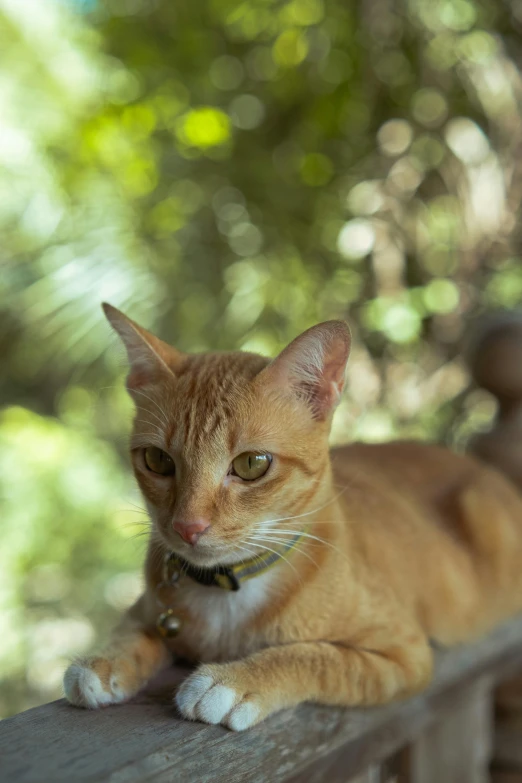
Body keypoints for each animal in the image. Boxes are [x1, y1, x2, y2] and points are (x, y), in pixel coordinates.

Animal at [62, 304, 522, 732]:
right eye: (158, 461)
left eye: (251, 464)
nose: (187, 527)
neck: (229, 596)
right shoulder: (145, 609)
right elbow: (132, 632)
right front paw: (105, 660)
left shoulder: (403, 654)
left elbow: (315, 657)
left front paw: (233, 681)